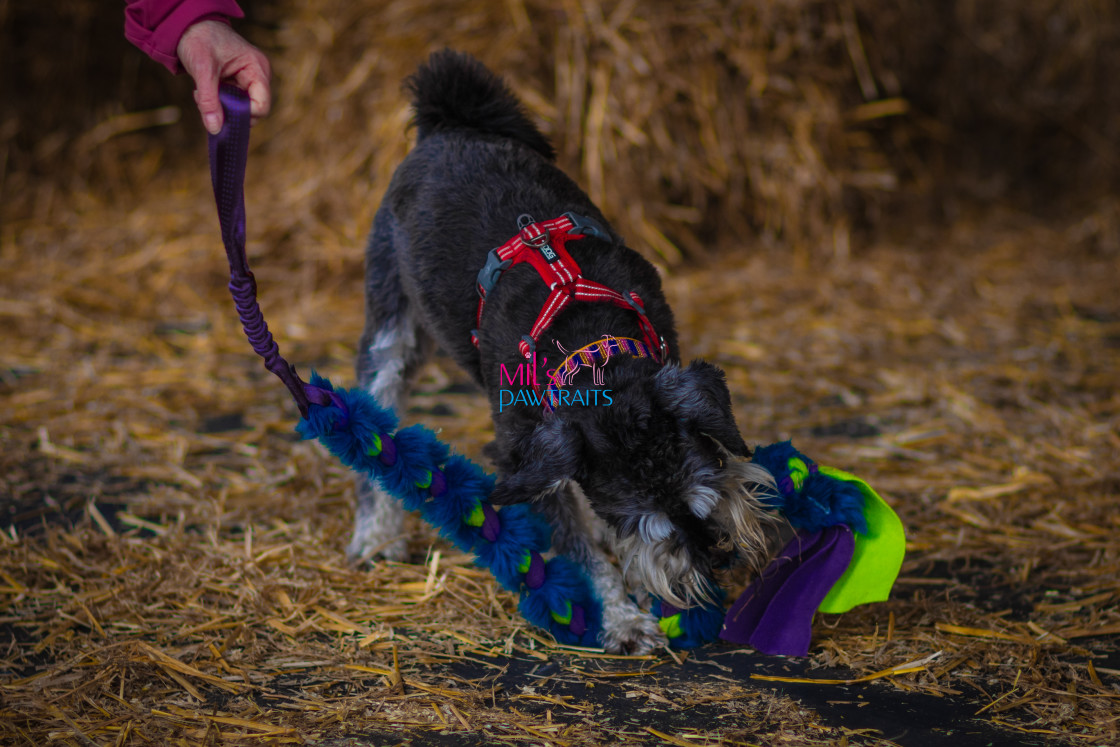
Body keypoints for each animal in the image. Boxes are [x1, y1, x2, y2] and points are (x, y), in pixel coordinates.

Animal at [347, 49, 779, 654]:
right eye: (644, 523)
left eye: (704, 498)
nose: (715, 559)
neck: (590, 350)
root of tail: (450, 124)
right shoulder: (526, 452)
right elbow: (581, 550)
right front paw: (622, 619)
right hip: (390, 328)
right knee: (376, 415)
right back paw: (375, 538)